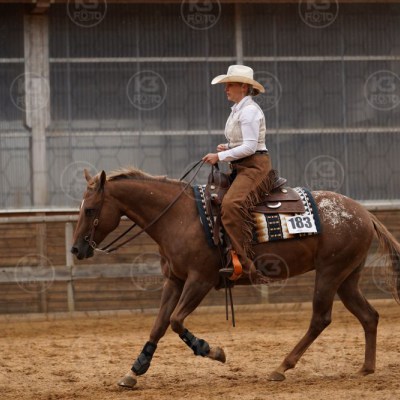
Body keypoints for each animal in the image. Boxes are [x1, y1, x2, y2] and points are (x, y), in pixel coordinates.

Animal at [71, 167, 400, 388]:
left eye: (91, 210)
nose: (76, 249)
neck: (178, 216)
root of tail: (364, 213)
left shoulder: (200, 280)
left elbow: (176, 321)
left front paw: (212, 351)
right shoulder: (174, 280)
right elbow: (159, 324)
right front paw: (134, 370)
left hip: (330, 274)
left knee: (320, 319)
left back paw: (281, 367)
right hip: (347, 278)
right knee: (369, 316)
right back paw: (366, 368)